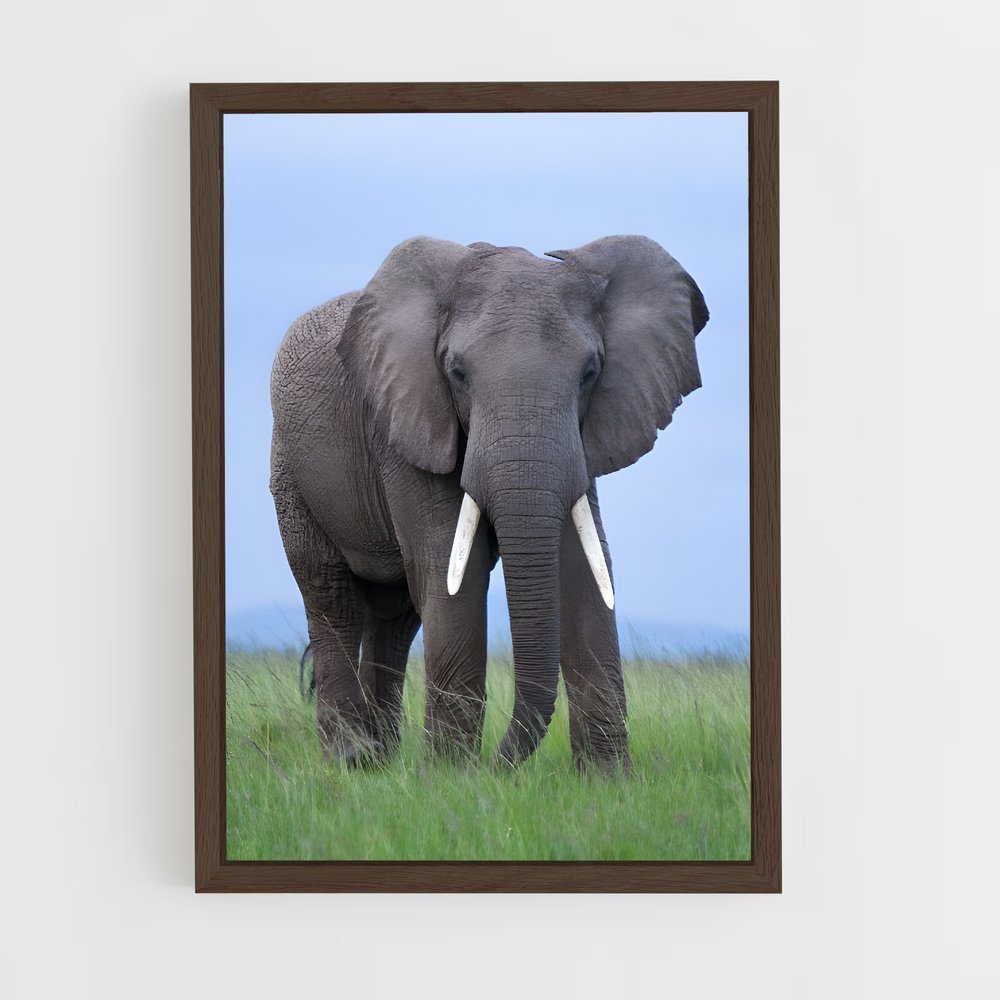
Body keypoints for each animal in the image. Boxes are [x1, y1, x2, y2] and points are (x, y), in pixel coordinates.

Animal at [269, 235, 708, 771]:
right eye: (457, 372)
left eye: (590, 373)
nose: (496, 768)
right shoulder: (405, 424)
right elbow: (452, 565)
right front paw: (450, 779)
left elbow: (584, 566)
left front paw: (608, 781)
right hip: (291, 472)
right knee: (331, 595)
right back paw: (350, 761)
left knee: (394, 616)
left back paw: (381, 763)